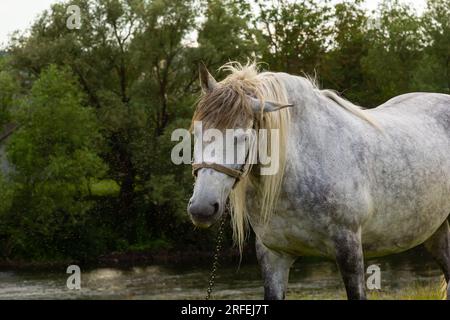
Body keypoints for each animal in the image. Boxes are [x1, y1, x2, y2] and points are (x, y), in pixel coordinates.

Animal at [187, 62, 450, 300]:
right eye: (196, 132)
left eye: (242, 137)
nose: (202, 208)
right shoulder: (273, 255)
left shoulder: (349, 249)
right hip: (436, 232)